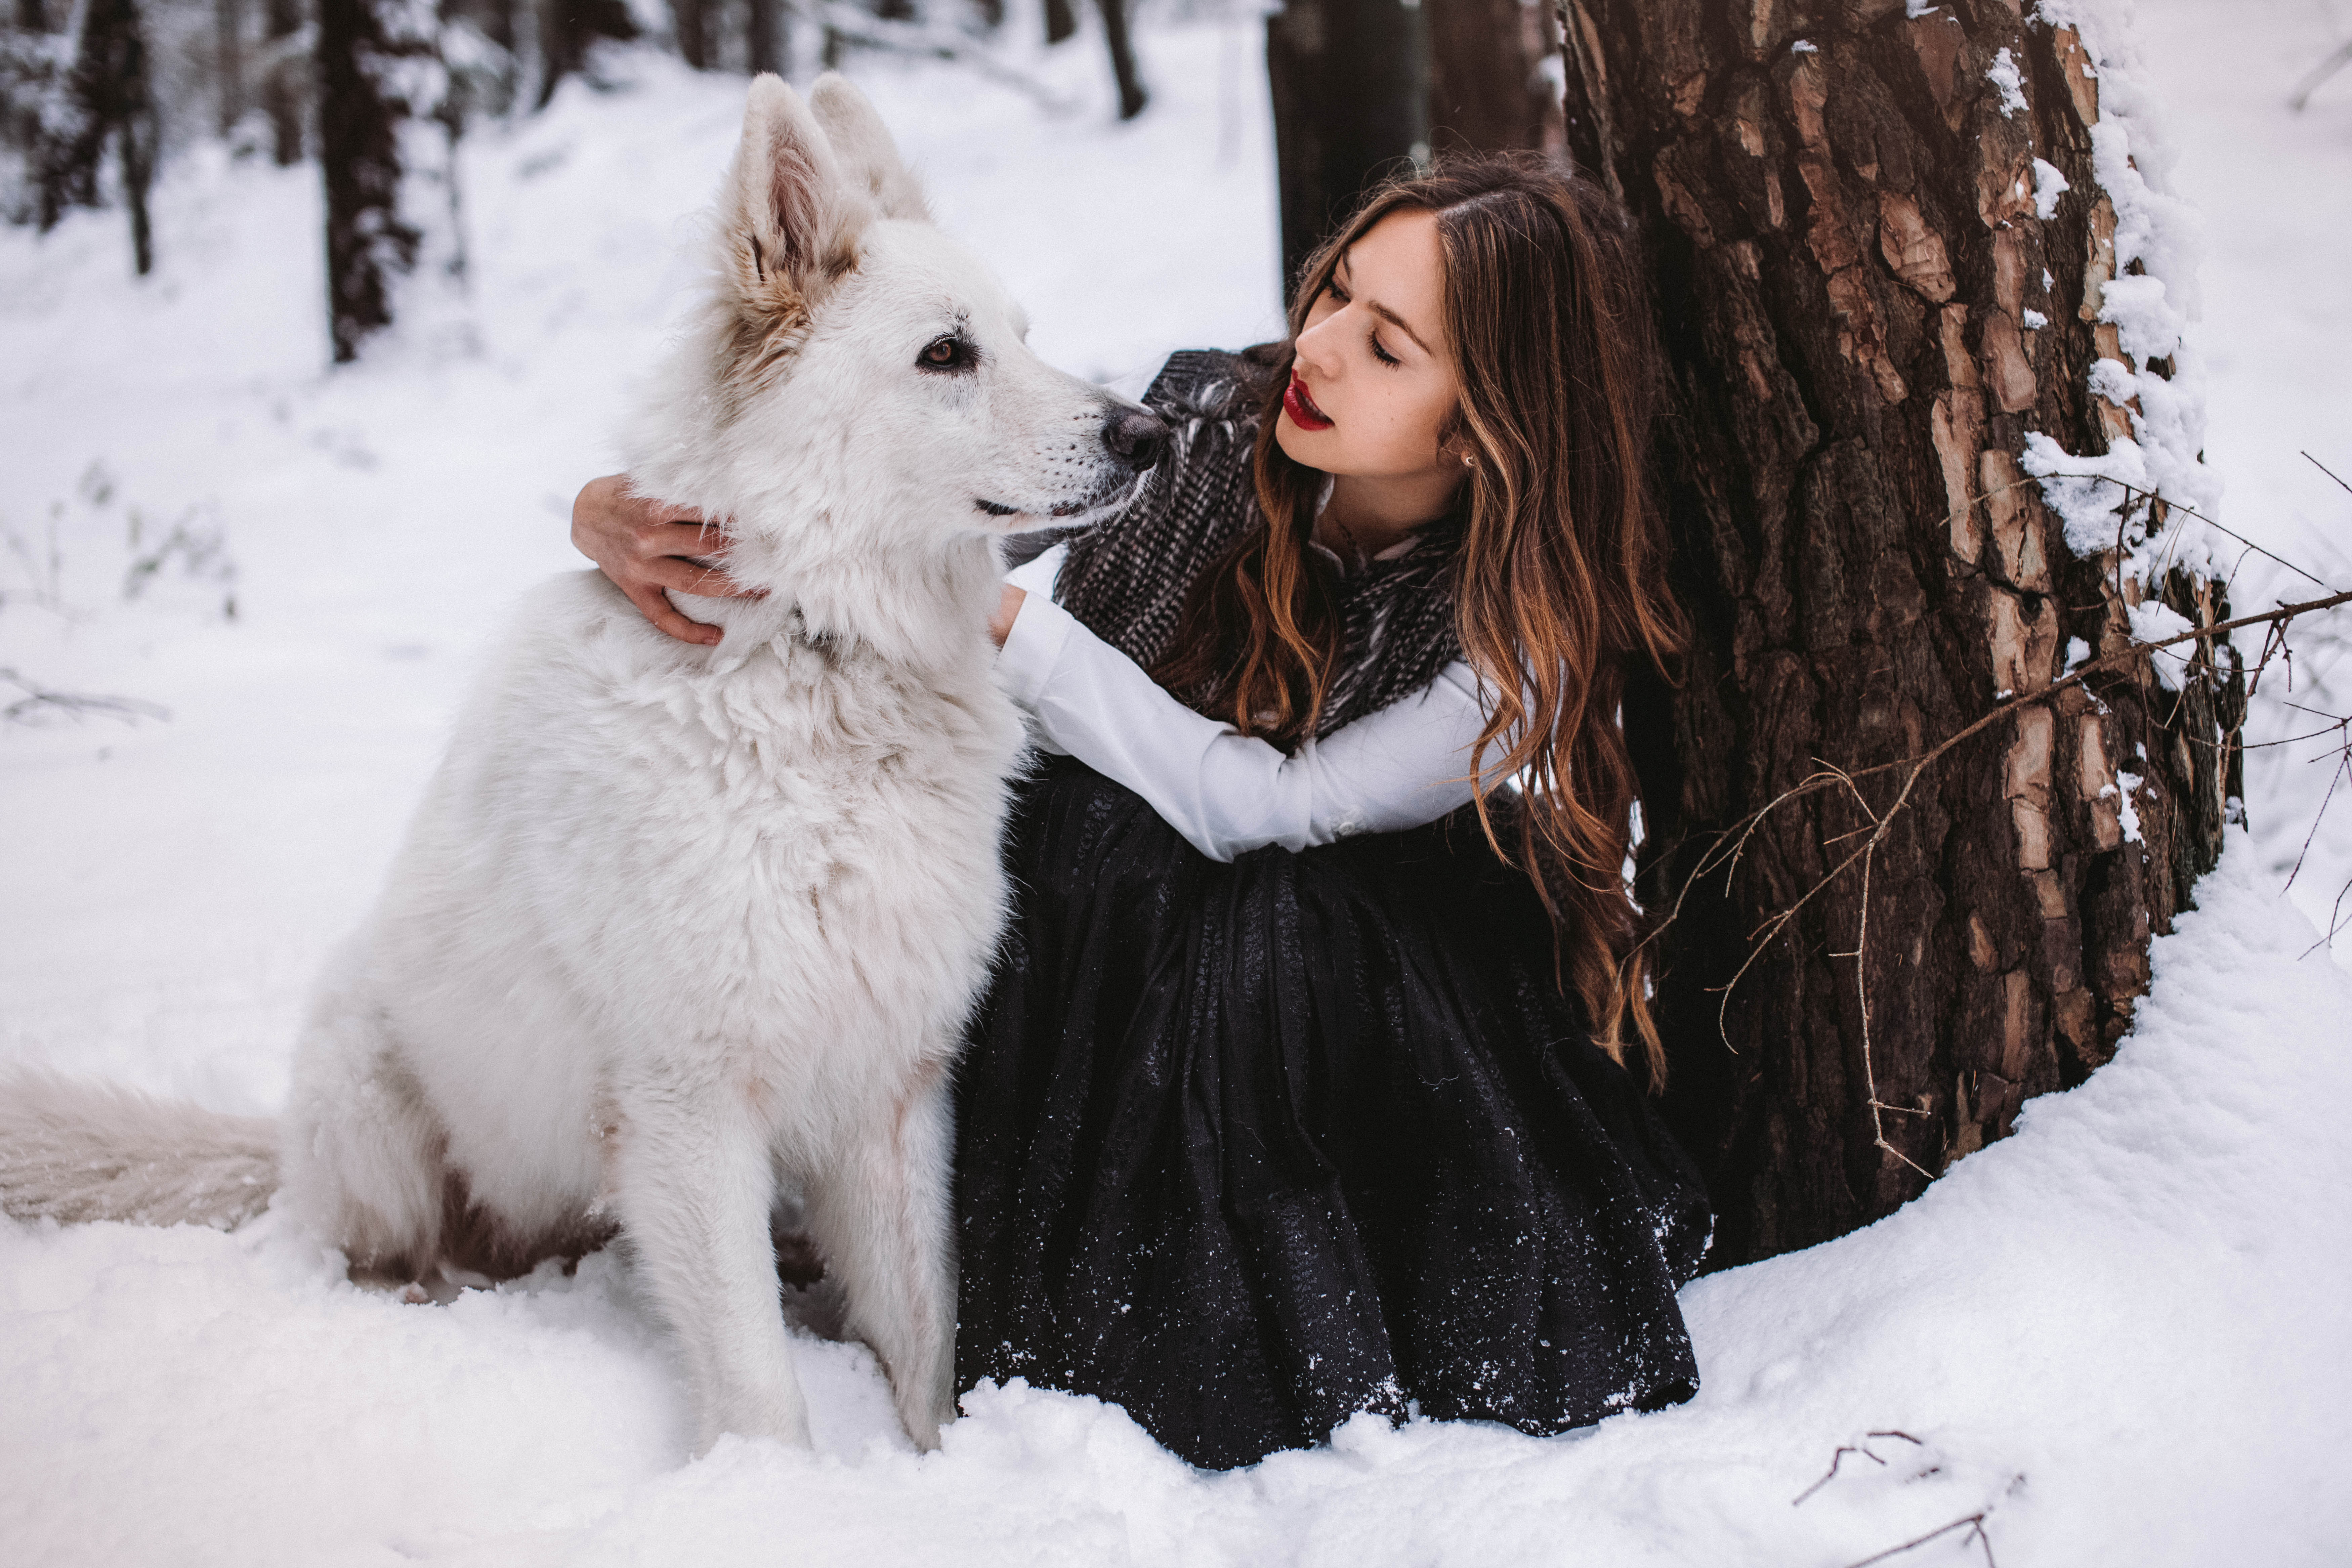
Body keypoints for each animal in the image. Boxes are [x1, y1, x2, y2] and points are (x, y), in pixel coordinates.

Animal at [0, 68, 1167, 1457]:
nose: (1152, 432)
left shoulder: (894, 1090)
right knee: (374, 1245)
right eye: (947, 353)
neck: (812, 649)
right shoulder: (690, 1108)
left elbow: (927, 1344)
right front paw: (775, 1493)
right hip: (373, 1091)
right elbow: (761, 1389)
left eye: (1023, 335)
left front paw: (933, 1471)